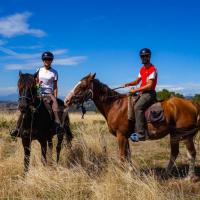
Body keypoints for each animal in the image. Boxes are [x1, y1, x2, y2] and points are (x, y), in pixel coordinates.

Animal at [64, 73, 200, 178]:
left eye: (82, 86)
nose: (66, 100)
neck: (115, 105)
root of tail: (191, 103)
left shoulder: (121, 135)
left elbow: (122, 156)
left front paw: (123, 175)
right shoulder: (125, 136)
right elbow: (128, 155)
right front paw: (130, 173)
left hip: (186, 135)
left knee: (191, 153)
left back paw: (190, 177)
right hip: (174, 134)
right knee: (174, 153)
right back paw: (166, 173)